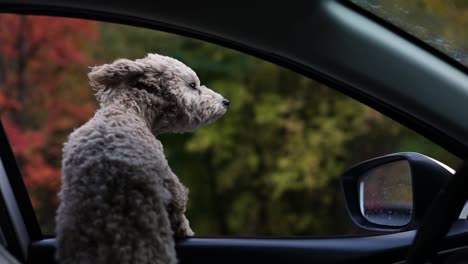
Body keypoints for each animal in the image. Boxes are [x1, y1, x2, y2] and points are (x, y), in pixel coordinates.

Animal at [55, 54, 229, 264]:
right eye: (193, 85)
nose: (226, 101)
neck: (128, 110)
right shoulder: (170, 183)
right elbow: (179, 210)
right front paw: (186, 230)